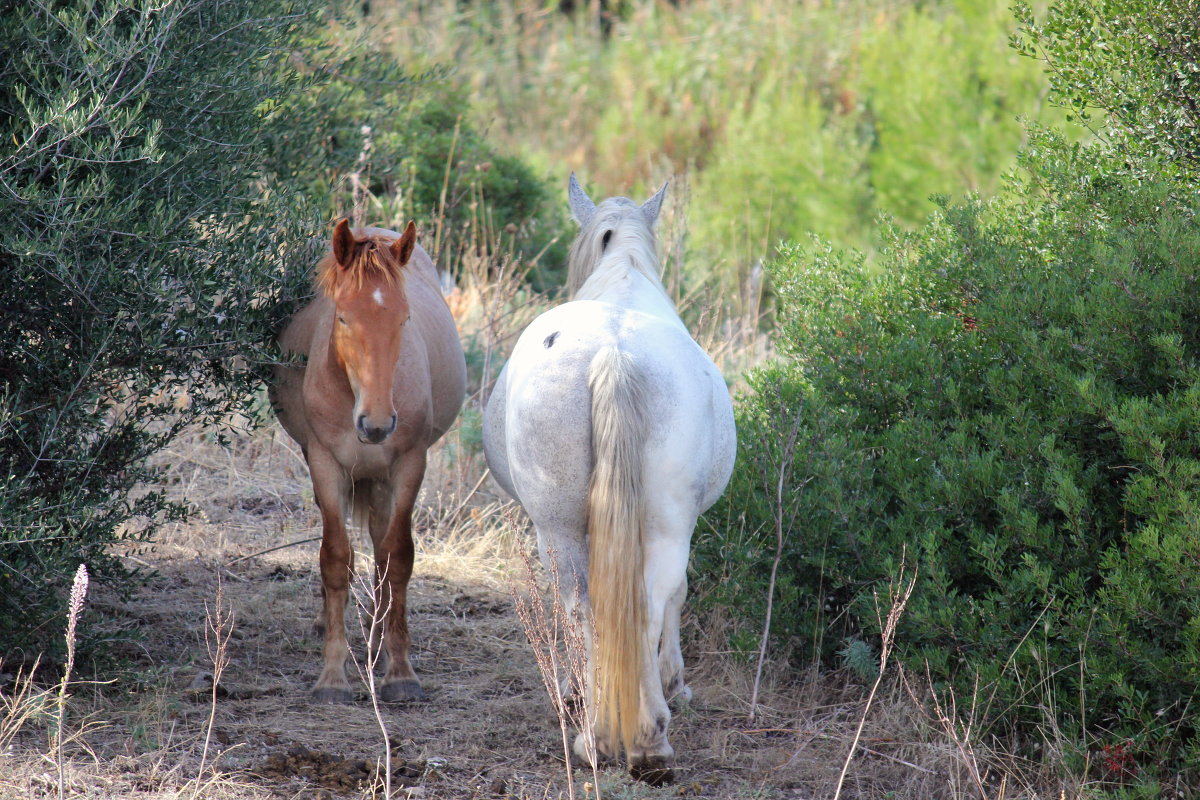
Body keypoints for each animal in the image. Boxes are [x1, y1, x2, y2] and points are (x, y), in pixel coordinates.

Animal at [271, 221, 463, 705]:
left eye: (404, 319)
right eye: (342, 317)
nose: (376, 425)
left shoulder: (410, 465)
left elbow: (397, 557)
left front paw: (400, 671)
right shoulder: (325, 462)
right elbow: (335, 556)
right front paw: (332, 675)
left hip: (383, 478)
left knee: (380, 543)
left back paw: (377, 635)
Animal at [482, 175, 734, 782]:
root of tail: (615, 354)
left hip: (557, 525)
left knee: (584, 604)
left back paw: (598, 731)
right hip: (666, 521)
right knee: (649, 597)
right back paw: (648, 740)